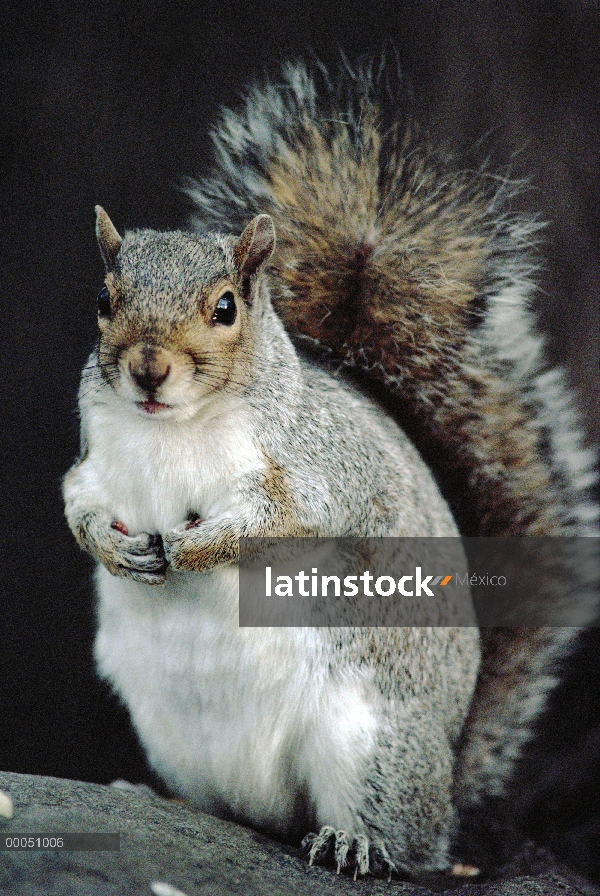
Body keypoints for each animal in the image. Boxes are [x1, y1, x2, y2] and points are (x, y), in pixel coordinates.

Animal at [63, 57, 596, 876]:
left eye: (225, 307)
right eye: (103, 298)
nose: (148, 370)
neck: (169, 430)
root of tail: (447, 789)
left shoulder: (319, 468)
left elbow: (286, 520)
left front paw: (198, 546)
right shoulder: (97, 461)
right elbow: (78, 503)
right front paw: (115, 549)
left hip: (366, 745)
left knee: (399, 840)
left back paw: (356, 842)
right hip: (172, 735)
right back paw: (161, 797)